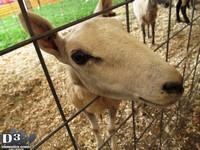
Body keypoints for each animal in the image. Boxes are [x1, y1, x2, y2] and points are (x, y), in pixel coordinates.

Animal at [19, 0, 184, 149]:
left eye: (121, 27)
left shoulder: (114, 105)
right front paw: (99, 144)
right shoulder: (83, 110)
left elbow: (111, 129)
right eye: (78, 57)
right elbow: (95, 129)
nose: (176, 84)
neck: (97, 99)